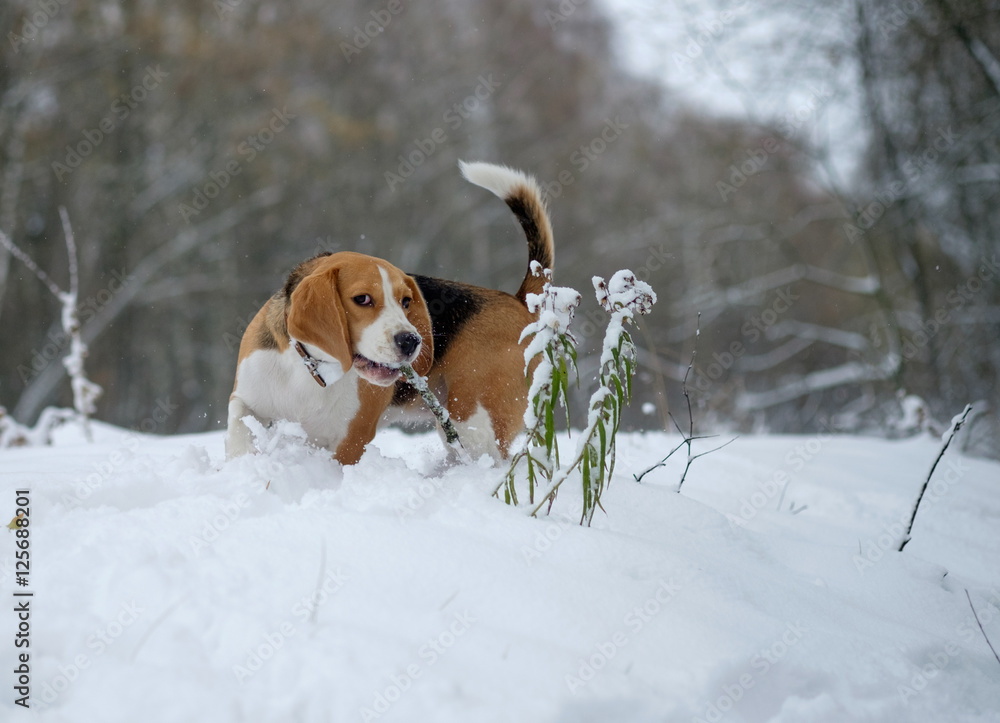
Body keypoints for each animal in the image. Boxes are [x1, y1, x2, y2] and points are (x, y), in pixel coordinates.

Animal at [227, 160, 556, 464]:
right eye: (362, 299)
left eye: (406, 301)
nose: (411, 342)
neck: (313, 368)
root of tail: (517, 300)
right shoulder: (247, 396)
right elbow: (239, 426)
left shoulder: (351, 439)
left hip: (474, 423)